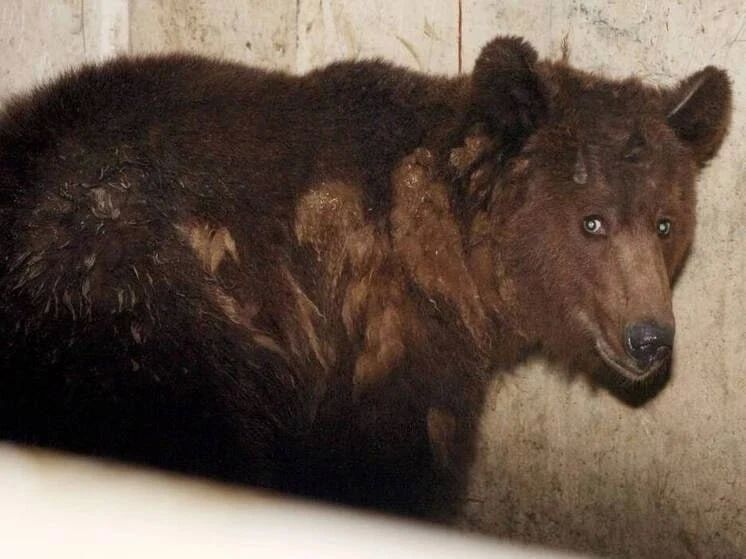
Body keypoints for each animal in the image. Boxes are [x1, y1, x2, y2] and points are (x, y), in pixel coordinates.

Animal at [0, 36, 732, 517]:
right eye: (592, 221)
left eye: (665, 223)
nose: (649, 337)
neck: (452, 258)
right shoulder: (381, 339)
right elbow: (390, 466)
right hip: (149, 321)